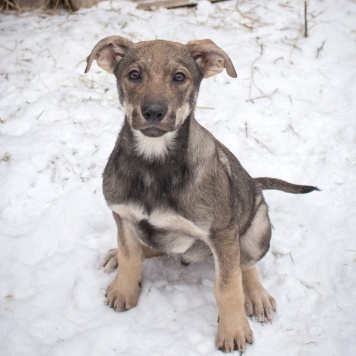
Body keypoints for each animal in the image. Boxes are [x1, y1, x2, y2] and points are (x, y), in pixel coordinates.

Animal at [85, 36, 318, 354]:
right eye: (134, 75)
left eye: (179, 77)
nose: (153, 112)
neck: (154, 163)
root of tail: (255, 184)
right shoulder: (121, 213)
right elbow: (130, 254)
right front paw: (124, 287)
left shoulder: (222, 233)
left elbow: (228, 286)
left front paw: (233, 330)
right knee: (152, 246)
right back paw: (116, 256)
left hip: (257, 225)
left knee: (246, 264)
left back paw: (256, 296)